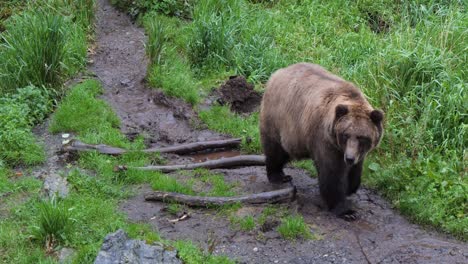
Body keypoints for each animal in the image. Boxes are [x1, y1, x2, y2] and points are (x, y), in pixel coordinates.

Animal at [260, 62, 384, 219]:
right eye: (345, 135)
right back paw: (278, 176)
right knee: (275, 149)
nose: (349, 158)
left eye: (362, 137)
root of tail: (276, 73)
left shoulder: (356, 152)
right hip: (279, 119)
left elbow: (356, 169)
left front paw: (350, 187)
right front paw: (346, 210)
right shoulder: (325, 140)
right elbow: (332, 173)